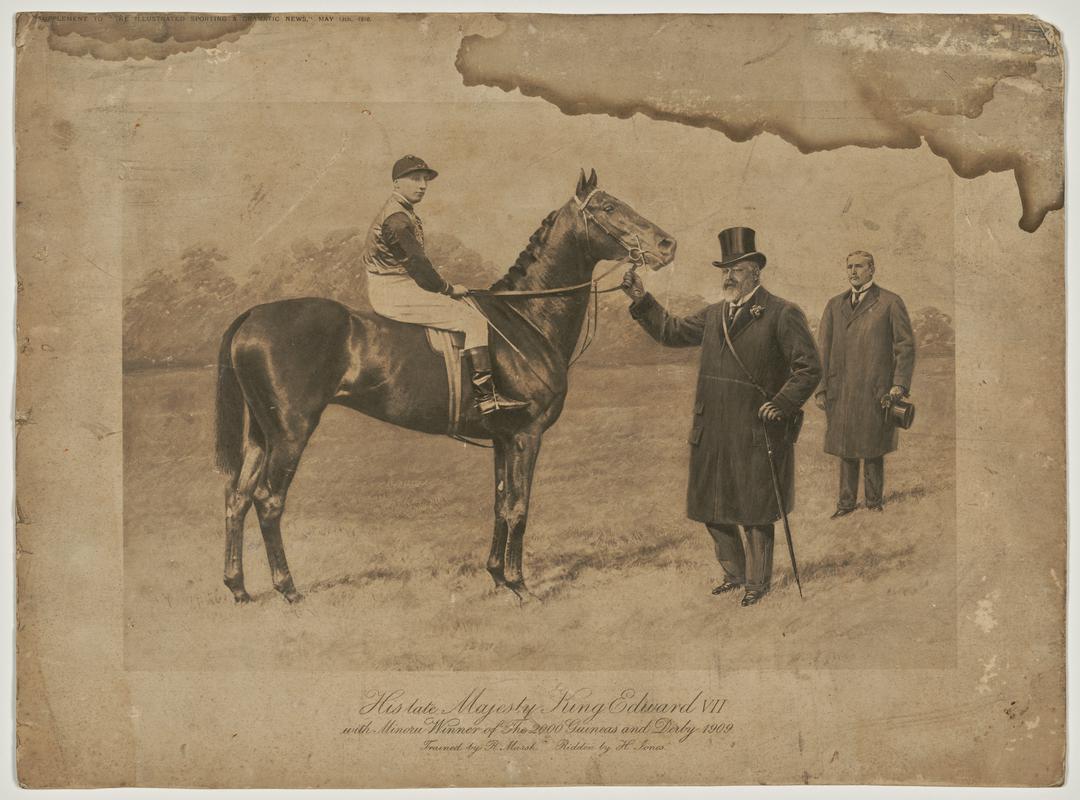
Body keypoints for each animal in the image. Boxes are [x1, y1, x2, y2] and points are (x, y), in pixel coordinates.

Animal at [212, 170, 673, 604]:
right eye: (609, 207)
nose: (667, 244)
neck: (525, 319)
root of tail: (253, 314)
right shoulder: (528, 435)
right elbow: (519, 508)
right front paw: (521, 586)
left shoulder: (503, 439)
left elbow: (501, 504)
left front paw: (497, 576)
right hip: (291, 432)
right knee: (268, 501)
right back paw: (288, 588)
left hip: (261, 434)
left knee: (237, 496)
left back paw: (238, 587)